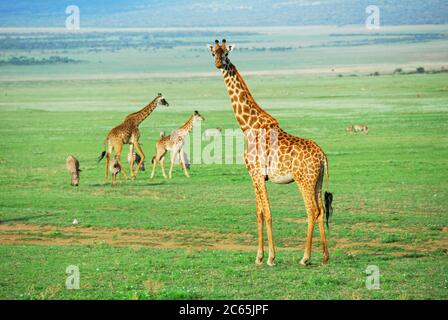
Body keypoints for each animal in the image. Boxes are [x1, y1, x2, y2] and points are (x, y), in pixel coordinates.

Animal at [207, 38, 332, 266]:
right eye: (214, 53)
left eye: (226, 53)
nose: (219, 64)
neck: (248, 127)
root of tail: (323, 156)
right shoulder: (254, 176)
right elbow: (258, 213)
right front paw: (259, 256)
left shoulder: (257, 173)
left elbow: (267, 212)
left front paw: (271, 258)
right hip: (317, 182)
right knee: (320, 212)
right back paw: (325, 256)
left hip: (304, 180)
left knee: (312, 210)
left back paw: (305, 257)